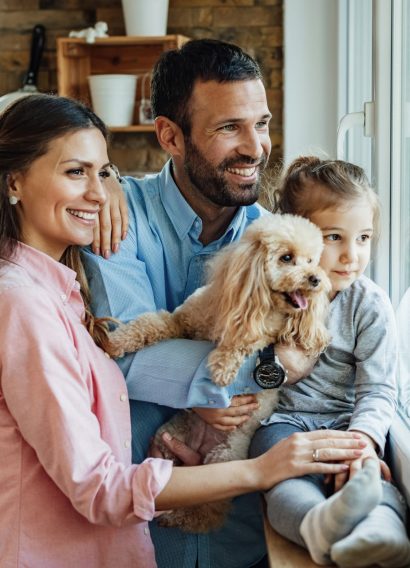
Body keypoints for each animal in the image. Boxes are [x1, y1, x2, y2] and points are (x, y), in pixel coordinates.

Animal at [108, 212, 330, 532]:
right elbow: (152, 323)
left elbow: (243, 343)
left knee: (207, 510)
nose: (315, 279)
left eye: (312, 260)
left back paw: (178, 516)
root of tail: (201, 448)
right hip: (169, 436)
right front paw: (117, 341)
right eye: (287, 257)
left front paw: (223, 367)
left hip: (224, 458)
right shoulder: (183, 320)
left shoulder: (265, 336)